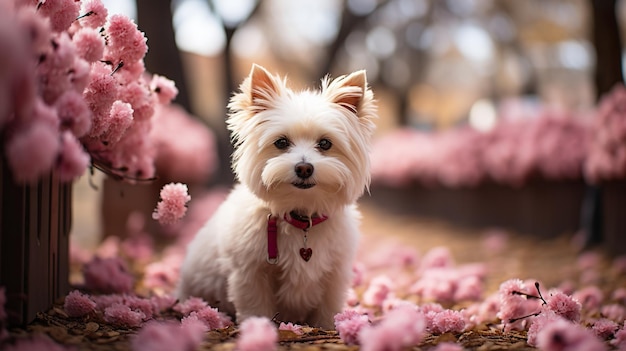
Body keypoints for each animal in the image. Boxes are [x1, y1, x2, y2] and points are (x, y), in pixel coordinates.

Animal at [178, 64, 378, 330]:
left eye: (325, 144)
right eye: (281, 142)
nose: (304, 168)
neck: (301, 216)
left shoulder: (334, 274)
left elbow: (327, 309)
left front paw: (330, 327)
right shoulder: (251, 272)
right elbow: (256, 305)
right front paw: (258, 330)